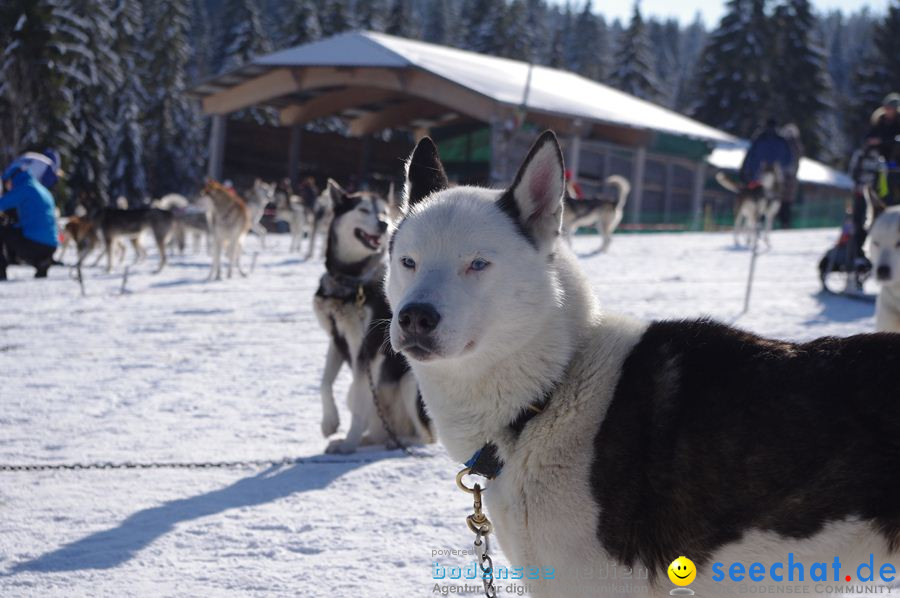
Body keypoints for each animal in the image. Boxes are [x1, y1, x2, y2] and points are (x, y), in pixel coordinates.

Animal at [312, 179, 432, 454]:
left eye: (384, 212)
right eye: (364, 210)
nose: (384, 223)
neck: (351, 280)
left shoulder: (367, 347)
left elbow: (359, 399)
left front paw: (348, 443)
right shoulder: (337, 339)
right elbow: (325, 383)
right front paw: (329, 423)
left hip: (411, 381)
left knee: (427, 436)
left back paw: (401, 442)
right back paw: (371, 439)